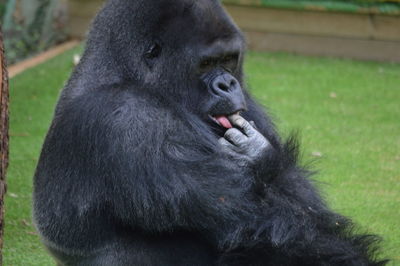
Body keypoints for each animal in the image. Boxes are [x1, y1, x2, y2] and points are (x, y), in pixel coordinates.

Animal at [32, 0, 386, 264]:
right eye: (206, 63)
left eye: (228, 60)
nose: (227, 84)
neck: (123, 72)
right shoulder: (127, 119)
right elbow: (267, 223)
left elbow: (304, 202)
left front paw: (260, 157)